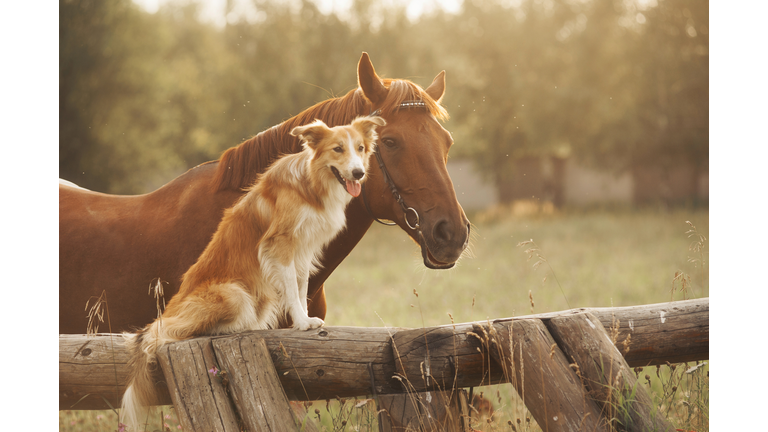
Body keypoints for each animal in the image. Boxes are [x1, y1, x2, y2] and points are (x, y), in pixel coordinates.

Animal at [119, 116, 384, 430]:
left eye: (360, 148)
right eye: (338, 149)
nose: (359, 173)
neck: (311, 184)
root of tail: (171, 308)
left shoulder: (304, 250)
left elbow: (301, 286)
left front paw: (305, 320)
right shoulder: (280, 245)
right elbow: (292, 289)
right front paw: (301, 323)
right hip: (234, 294)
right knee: (169, 331)